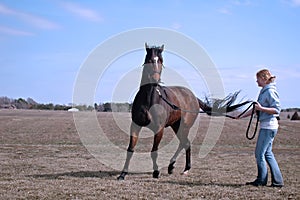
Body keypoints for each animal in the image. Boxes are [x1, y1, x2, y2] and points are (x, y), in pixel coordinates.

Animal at [117, 43, 246, 180]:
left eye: (161, 61)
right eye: (149, 60)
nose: (155, 80)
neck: (150, 99)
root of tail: (193, 97)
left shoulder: (159, 129)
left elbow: (154, 151)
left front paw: (156, 172)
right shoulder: (135, 125)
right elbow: (130, 149)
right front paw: (123, 174)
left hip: (184, 126)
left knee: (185, 143)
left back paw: (184, 168)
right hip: (176, 125)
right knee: (184, 143)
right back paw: (173, 166)